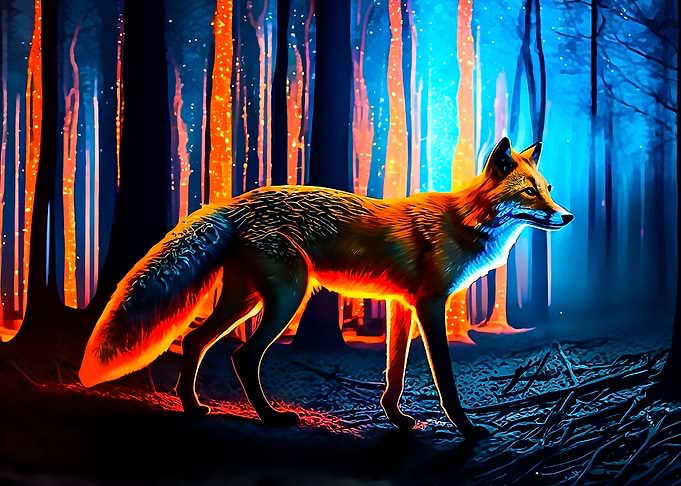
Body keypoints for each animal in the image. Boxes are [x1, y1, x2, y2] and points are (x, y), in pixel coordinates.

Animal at [79, 137, 572, 439]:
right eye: (529, 192)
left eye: (547, 188)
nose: (566, 215)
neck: (462, 222)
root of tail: (233, 202)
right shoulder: (430, 305)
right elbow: (446, 381)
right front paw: (467, 430)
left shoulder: (401, 306)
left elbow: (393, 373)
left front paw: (396, 418)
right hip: (286, 298)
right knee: (242, 356)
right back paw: (271, 418)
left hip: (246, 301)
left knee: (195, 340)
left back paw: (193, 408)